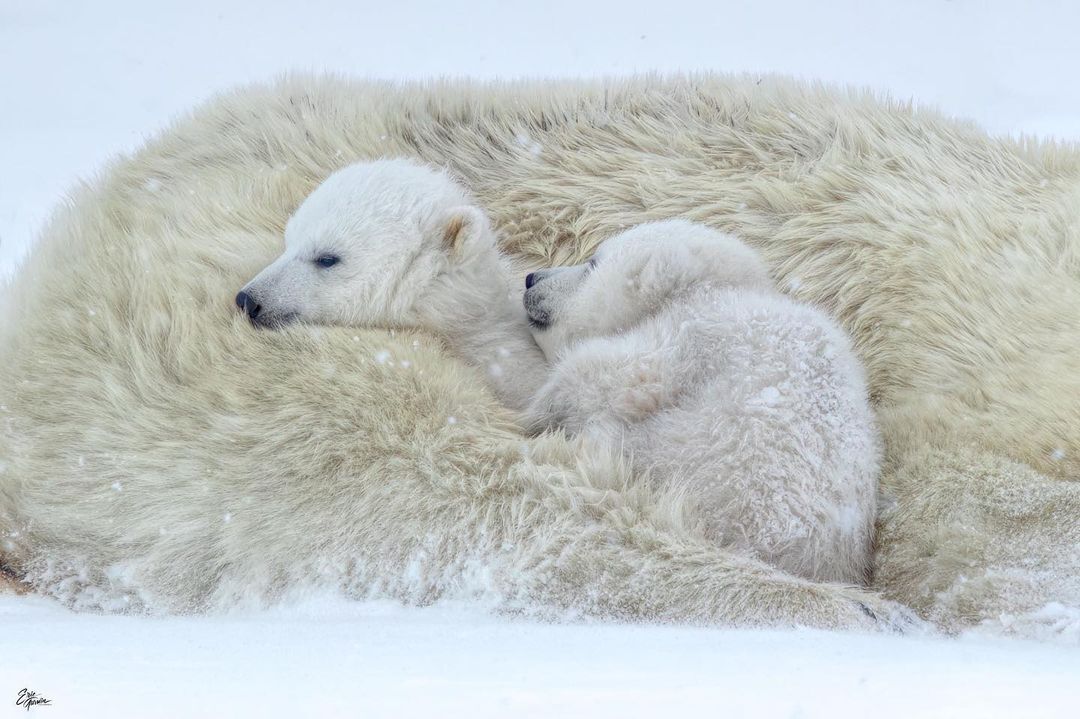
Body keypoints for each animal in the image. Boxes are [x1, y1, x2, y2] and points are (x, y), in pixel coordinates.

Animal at [524, 221, 885, 587]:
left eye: (593, 262)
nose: (531, 278)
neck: (717, 288)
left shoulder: (695, 328)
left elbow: (617, 374)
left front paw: (538, 410)